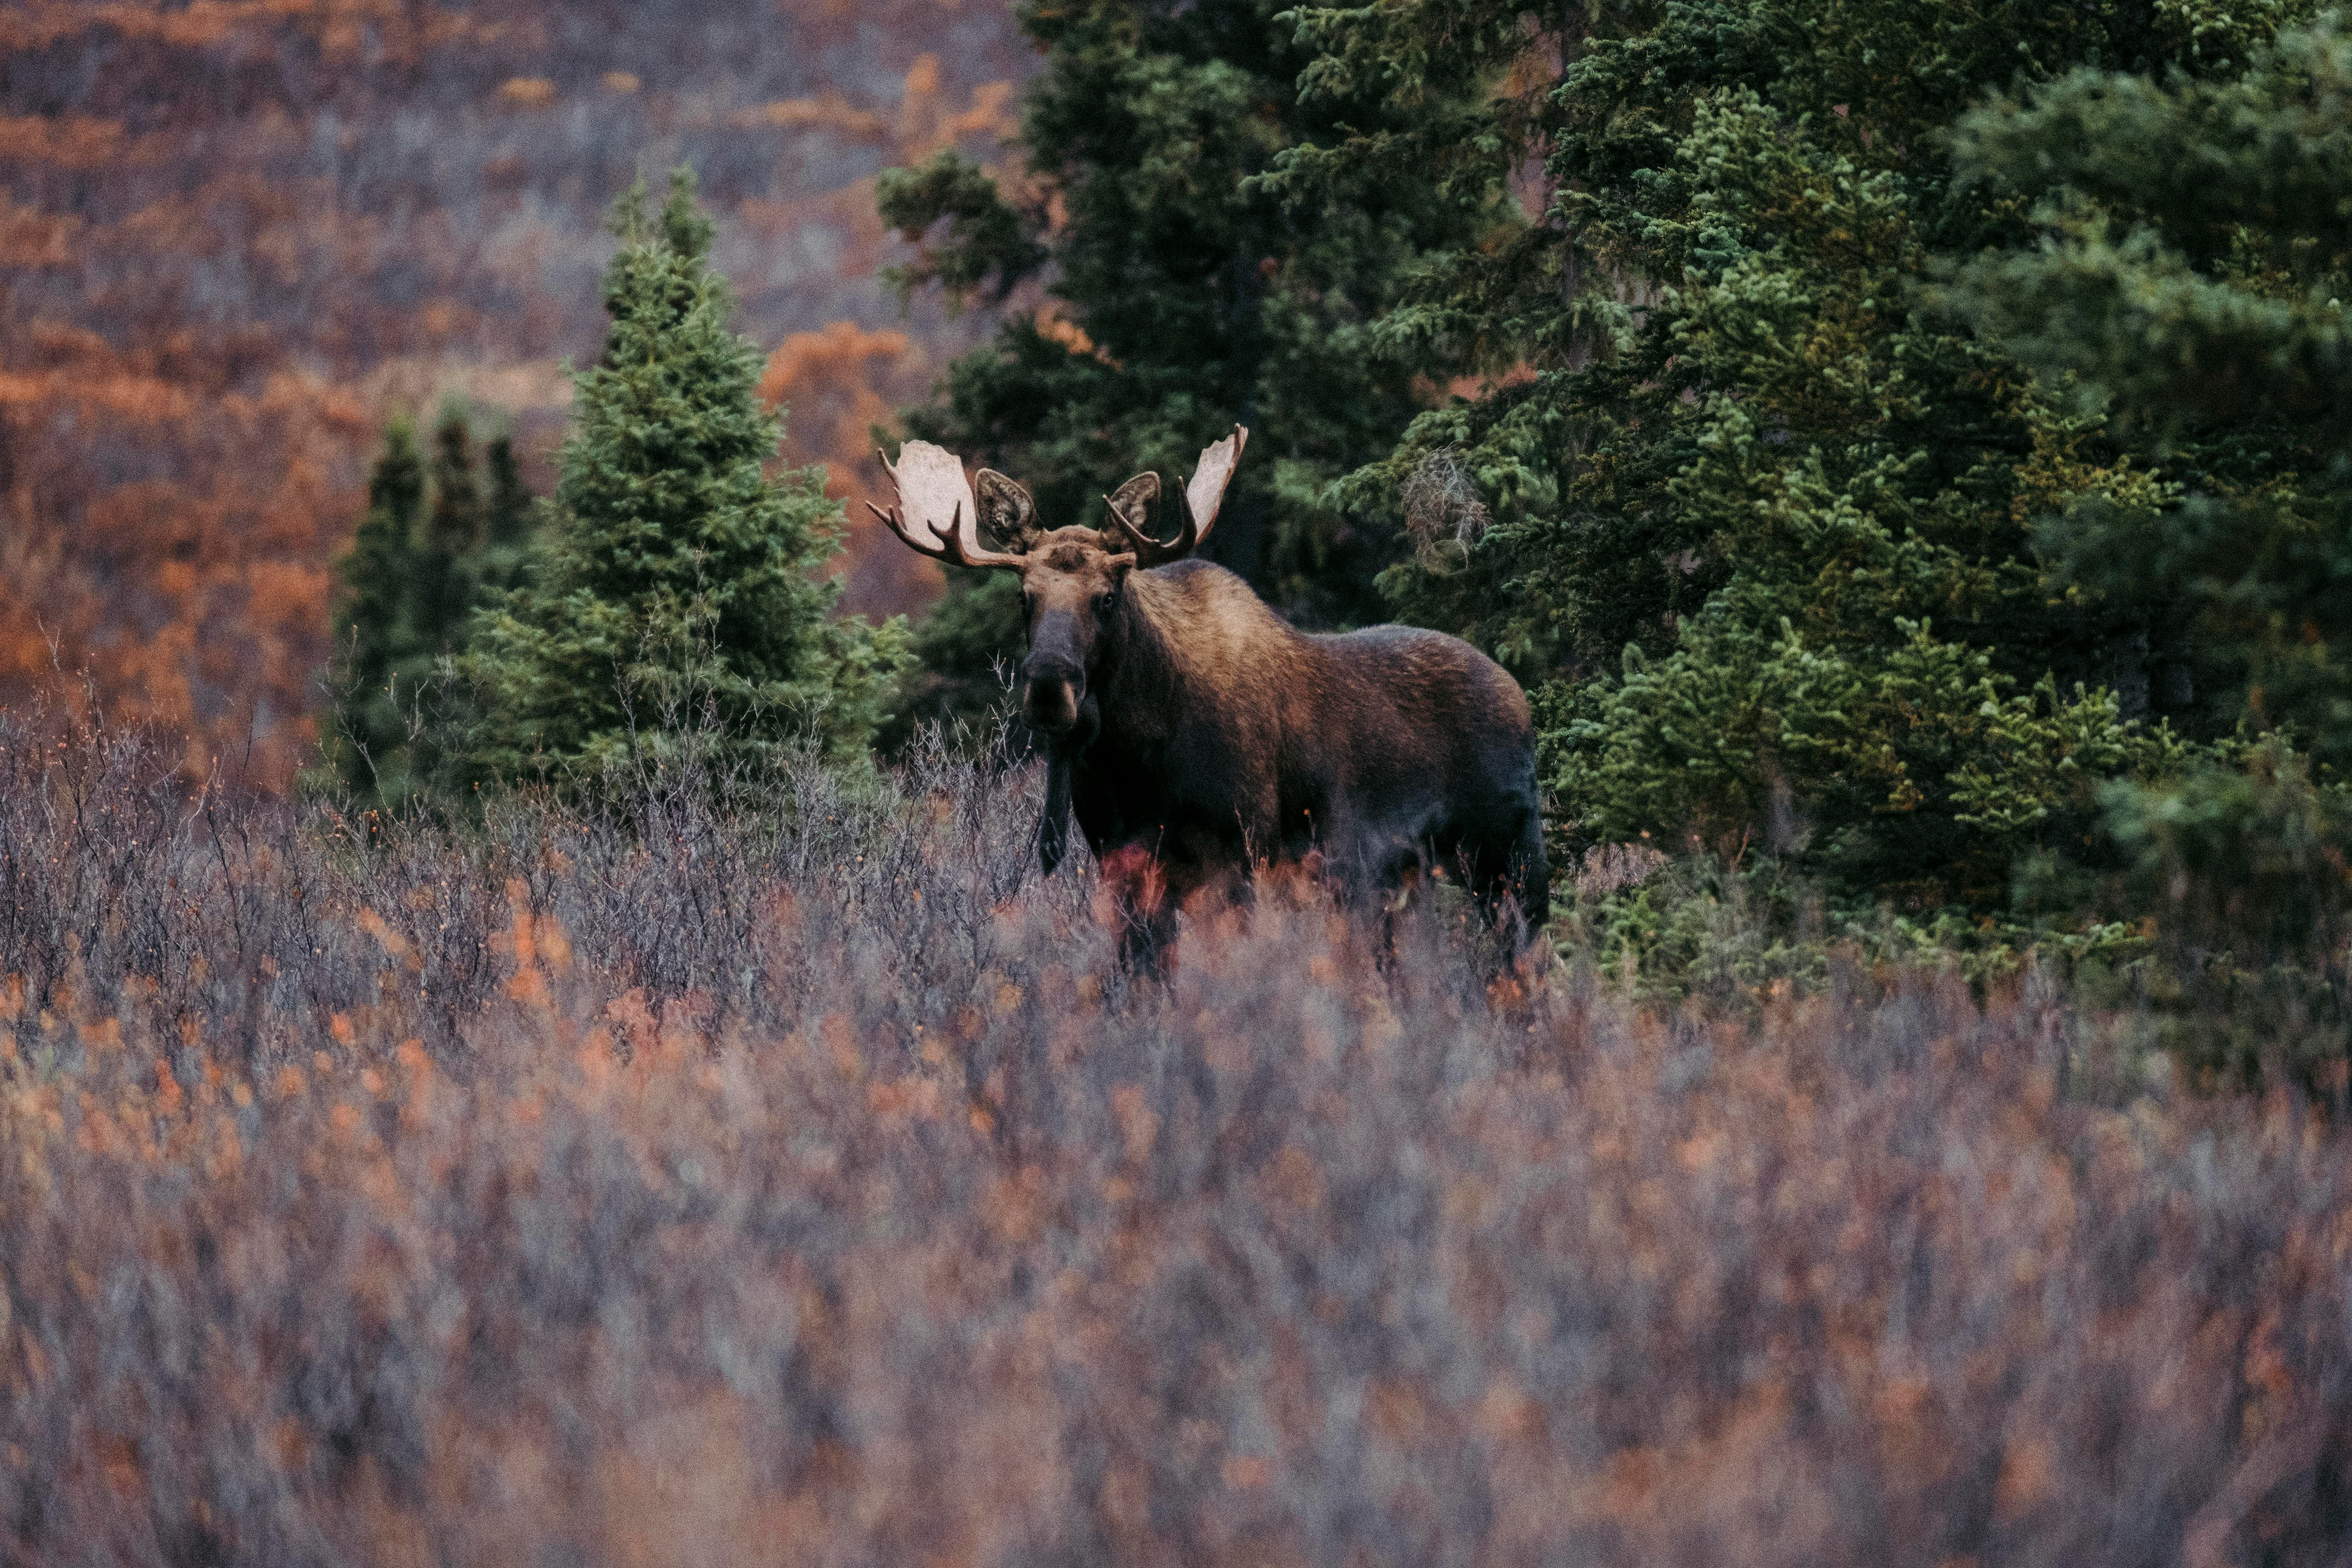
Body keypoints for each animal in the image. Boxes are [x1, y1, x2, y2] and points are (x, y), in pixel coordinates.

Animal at [868, 425, 1548, 966]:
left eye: (1108, 597)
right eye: (1023, 596)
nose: (1048, 689)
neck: (1137, 758)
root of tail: (1520, 695)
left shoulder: (1242, 850)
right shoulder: (1119, 858)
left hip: (1510, 852)